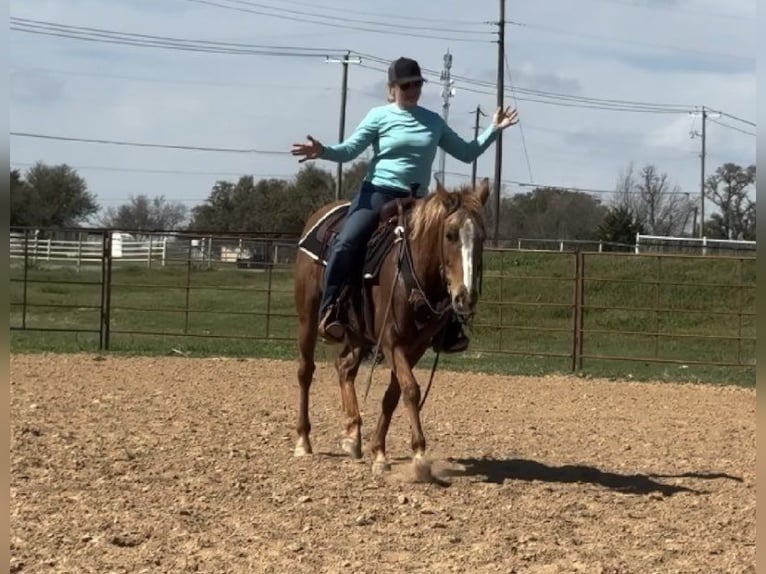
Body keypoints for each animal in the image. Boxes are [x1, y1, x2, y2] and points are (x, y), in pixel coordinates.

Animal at [294, 178, 492, 474]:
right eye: (450, 235)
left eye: (482, 237)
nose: (465, 297)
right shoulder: (390, 340)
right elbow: (411, 389)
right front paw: (419, 454)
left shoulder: (416, 346)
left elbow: (394, 393)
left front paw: (379, 451)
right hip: (308, 319)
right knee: (306, 372)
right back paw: (303, 441)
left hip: (358, 333)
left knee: (345, 368)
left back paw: (353, 434)